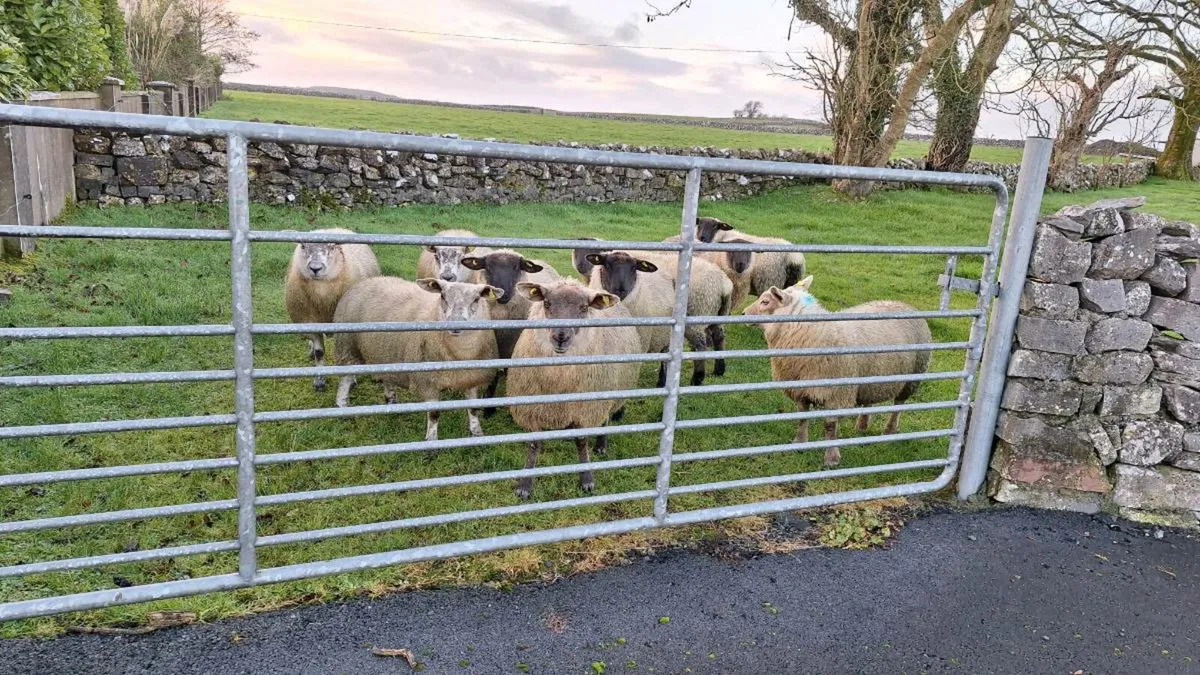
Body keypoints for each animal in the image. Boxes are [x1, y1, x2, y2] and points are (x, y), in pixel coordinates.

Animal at [284, 228, 381, 392]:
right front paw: (319, 380)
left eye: (332, 247)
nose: (315, 268)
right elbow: (319, 352)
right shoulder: (310, 321)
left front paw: (351, 379)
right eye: (303, 246)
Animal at [332, 276, 503, 442]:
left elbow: (473, 409)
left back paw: (392, 401)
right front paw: (431, 441)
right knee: (346, 378)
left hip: (385, 352)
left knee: (387, 377)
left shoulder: (472, 377)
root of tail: (366, 280)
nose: (455, 323)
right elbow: (434, 414)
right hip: (348, 345)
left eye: (476, 299)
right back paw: (342, 405)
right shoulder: (427, 381)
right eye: (442, 296)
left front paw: (477, 433)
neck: (460, 355)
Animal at [506, 279, 642, 498]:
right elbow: (534, 444)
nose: (561, 336)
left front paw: (586, 479)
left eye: (584, 308)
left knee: (605, 419)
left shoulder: (584, 408)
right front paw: (525, 485)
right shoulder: (532, 408)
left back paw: (601, 445)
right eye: (547, 303)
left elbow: (581, 441)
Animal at [742, 275, 932, 467]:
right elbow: (802, 417)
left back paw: (889, 430)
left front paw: (831, 458)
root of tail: (904, 304)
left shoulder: (836, 392)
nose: (743, 313)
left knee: (898, 405)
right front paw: (799, 442)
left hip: (912, 376)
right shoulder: (801, 388)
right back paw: (862, 426)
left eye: (765, 301)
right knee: (869, 400)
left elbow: (830, 427)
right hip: (869, 376)